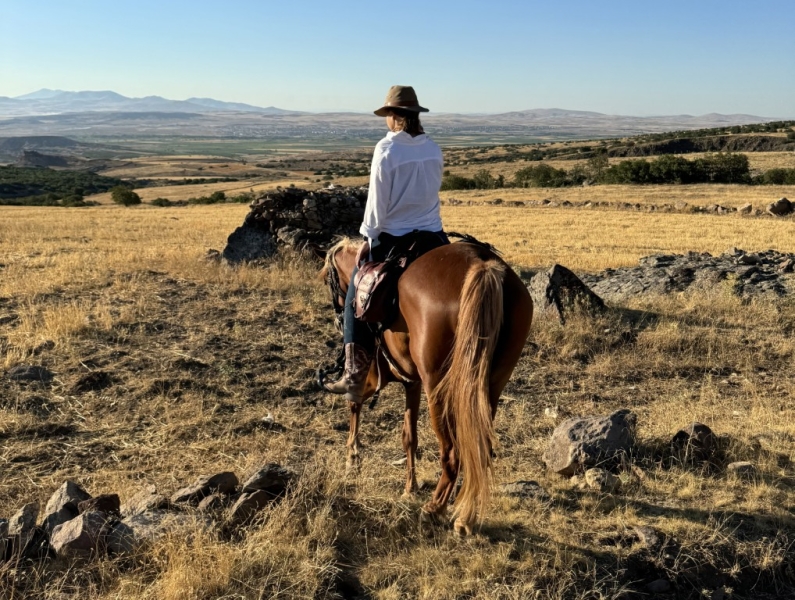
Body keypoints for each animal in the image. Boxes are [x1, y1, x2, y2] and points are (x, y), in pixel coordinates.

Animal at [318, 238, 536, 536]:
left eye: (330, 280)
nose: (339, 316)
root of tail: (482, 265)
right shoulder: (412, 382)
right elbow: (409, 437)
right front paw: (409, 487)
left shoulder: (371, 376)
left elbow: (354, 401)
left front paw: (353, 455)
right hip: (489, 387)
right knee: (479, 446)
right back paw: (465, 517)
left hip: (439, 388)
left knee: (452, 452)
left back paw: (435, 509)